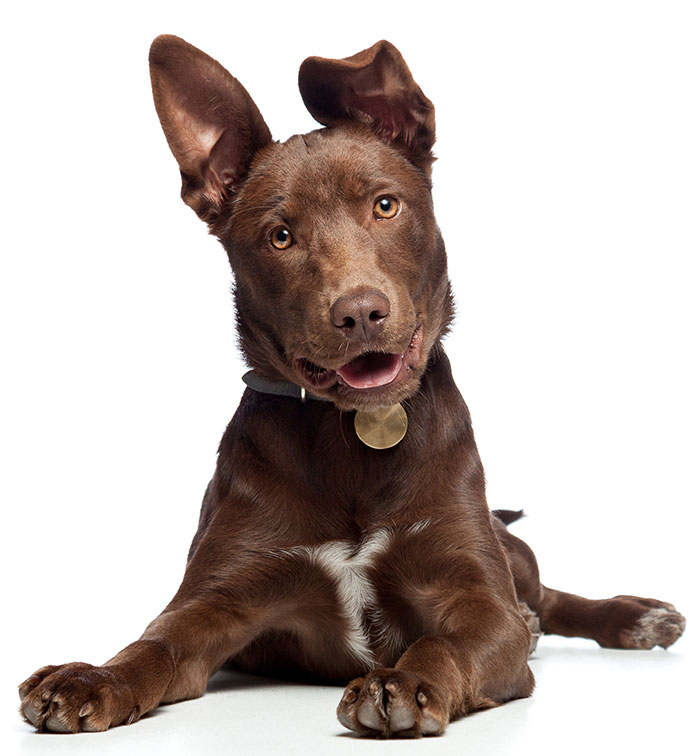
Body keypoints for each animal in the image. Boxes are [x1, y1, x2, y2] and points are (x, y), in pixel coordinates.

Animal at [19, 37, 688, 740]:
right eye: (280, 236)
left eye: (385, 205)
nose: (360, 312)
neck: (354, 434)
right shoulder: (217, 599)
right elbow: (156, 643)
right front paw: (94, 677)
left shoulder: (481, 599)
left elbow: (447, 639)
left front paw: (408, 681)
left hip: (513, 555)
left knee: (546, 599)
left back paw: (634, 617)